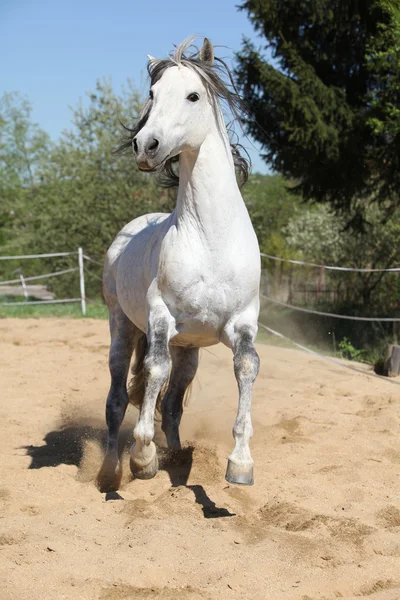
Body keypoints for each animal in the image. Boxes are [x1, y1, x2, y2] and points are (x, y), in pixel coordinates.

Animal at [98, 37, 260, 492]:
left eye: (193, 96)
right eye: (153, 95)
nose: (145, 146)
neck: (211, 240)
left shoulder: (242, 322)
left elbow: (246, 367)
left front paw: (240, 465)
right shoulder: (159, 317)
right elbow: (153, 372)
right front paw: (144, 459)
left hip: (189, 351)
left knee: (171, 405)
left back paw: (176, 452)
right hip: (122, 325)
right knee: (118, 399)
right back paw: (113, 472)